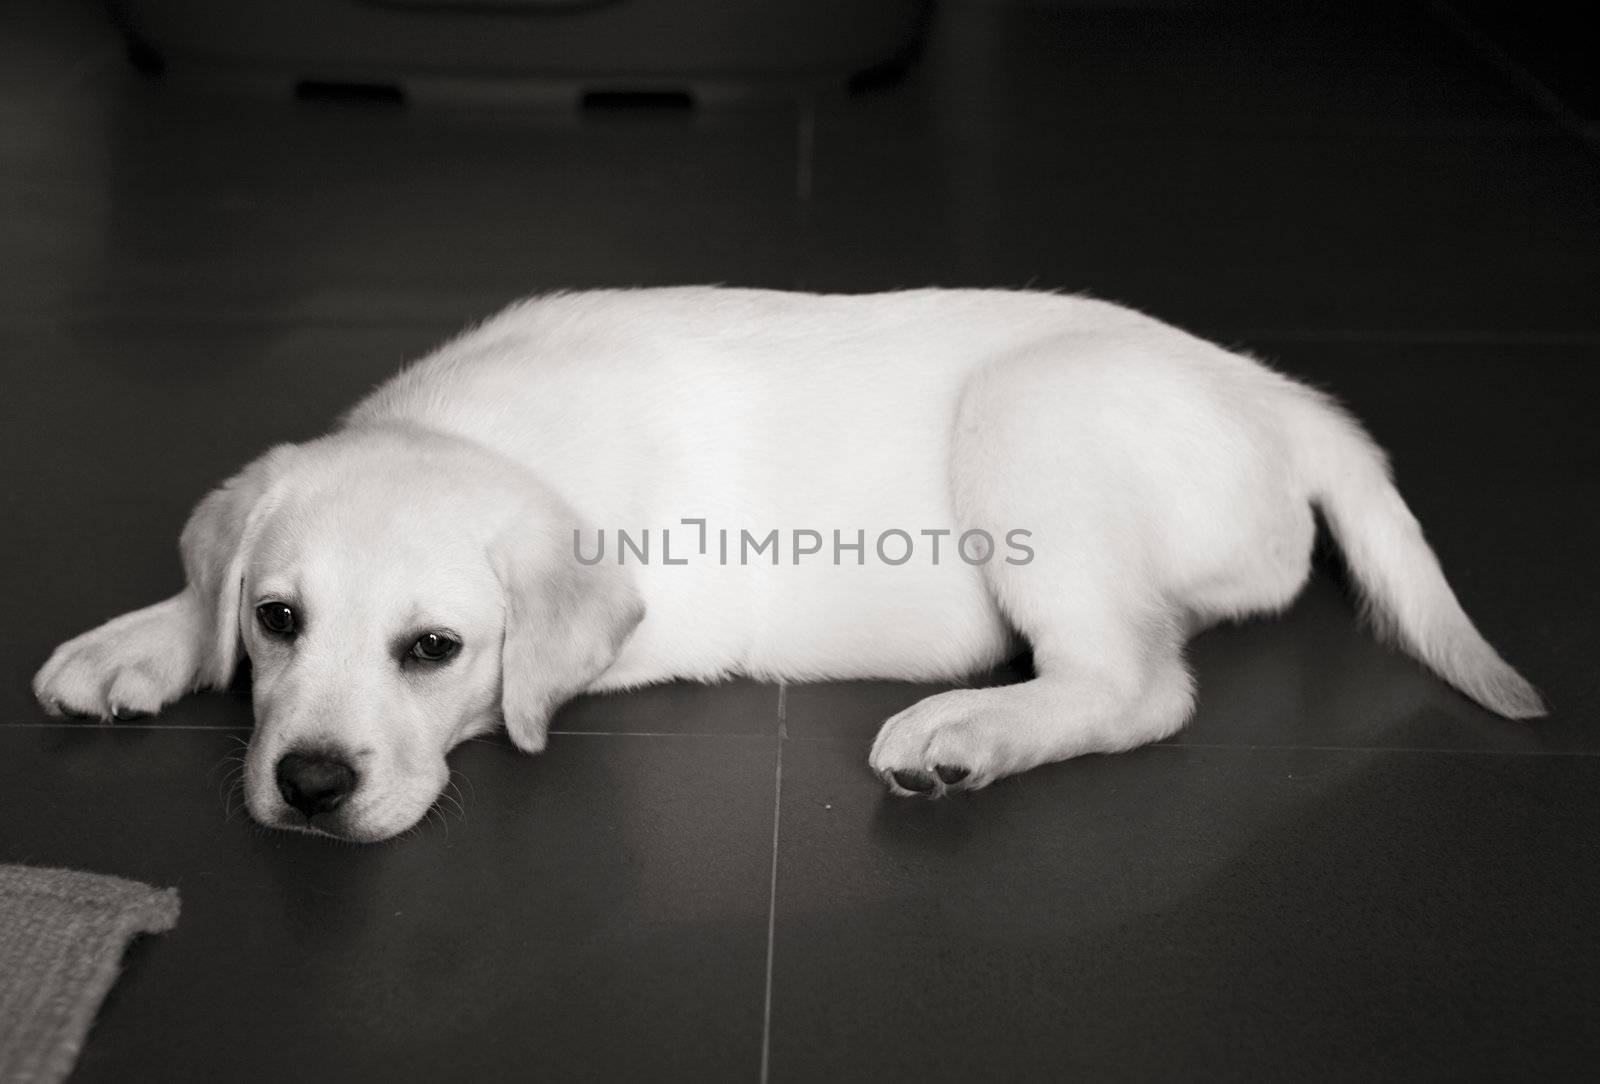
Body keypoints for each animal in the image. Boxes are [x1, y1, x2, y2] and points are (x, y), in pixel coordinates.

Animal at [31, 290, 1542, 850]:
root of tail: (1279, 397)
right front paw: (139, 640)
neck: (484, 436)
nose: (306, 785)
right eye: (277, 619)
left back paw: (965, 734)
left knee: (1136, 687)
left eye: (433, 651)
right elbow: (191, 598)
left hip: (1028, 425)